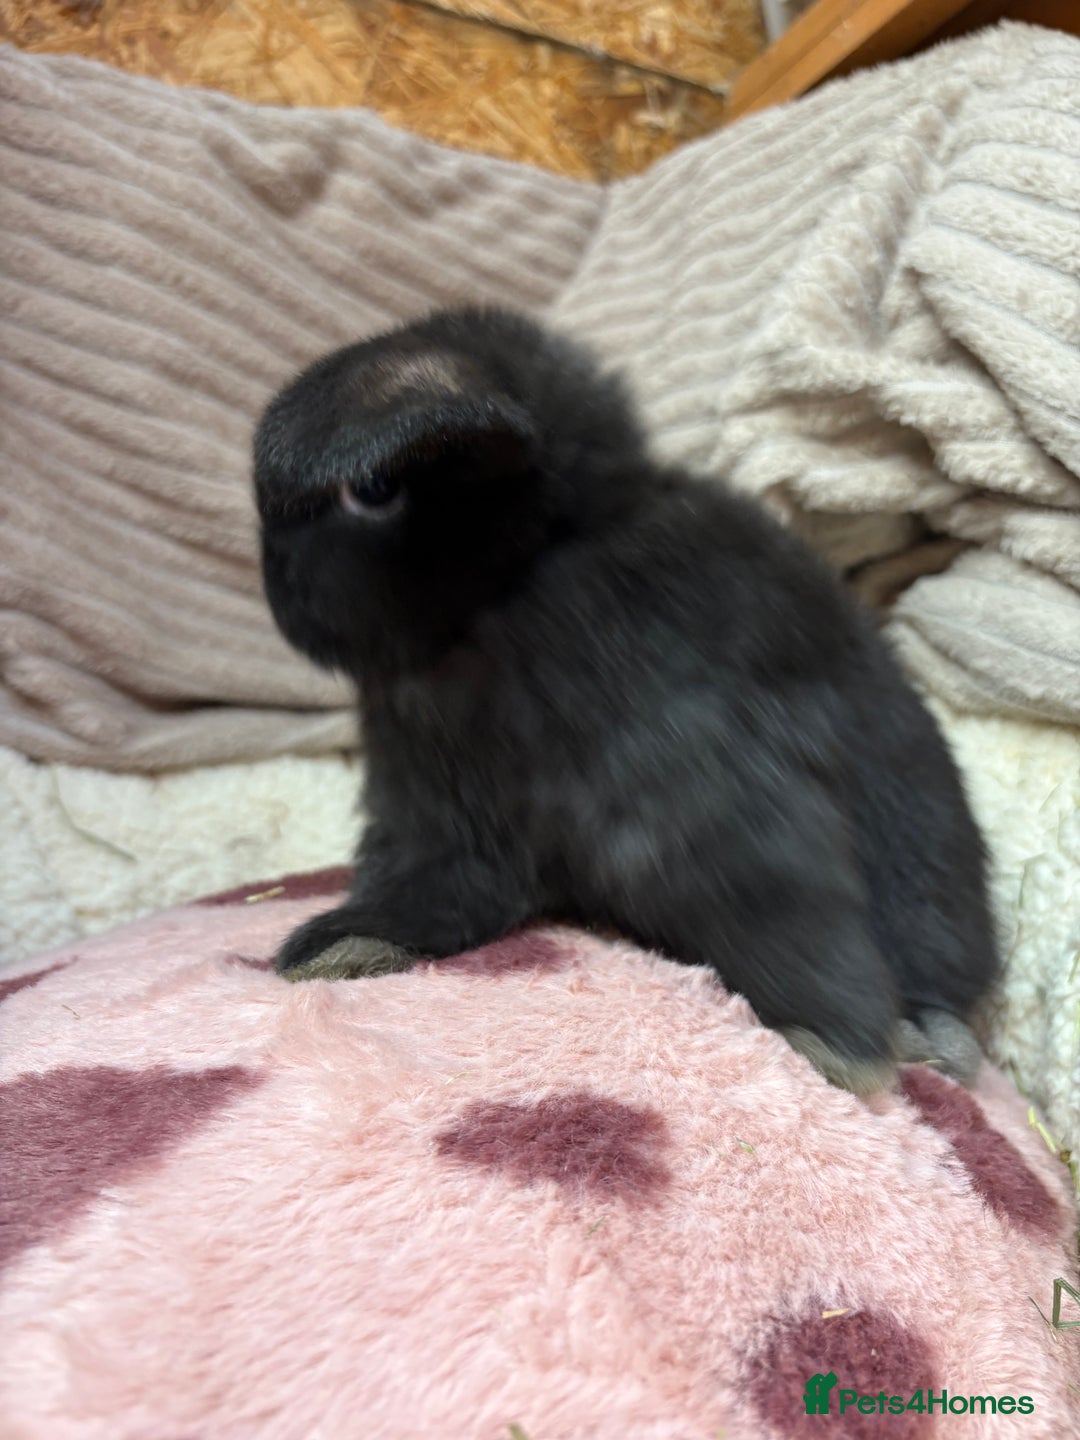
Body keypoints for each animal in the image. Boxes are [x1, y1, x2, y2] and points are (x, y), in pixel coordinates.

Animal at [252, 306, 997, 1093]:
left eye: (370, 491)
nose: (278, 593)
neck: (526, 570)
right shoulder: (444, 811)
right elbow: (432, 890)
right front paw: (343, 945)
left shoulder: (686, 771)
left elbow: (778, 894)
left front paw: (840, 1047)